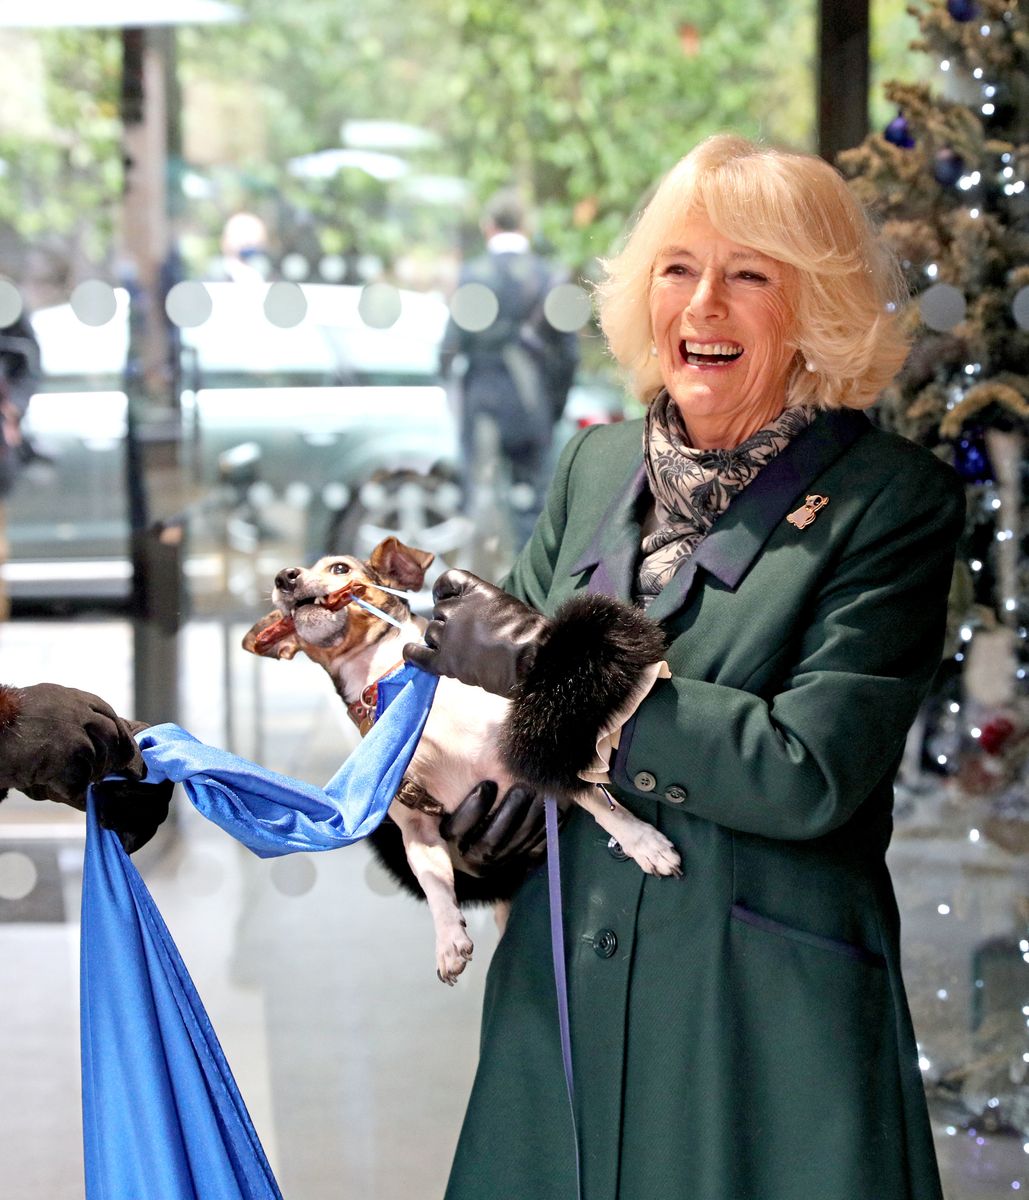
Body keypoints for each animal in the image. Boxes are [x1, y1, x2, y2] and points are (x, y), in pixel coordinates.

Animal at [242, 540, 681, 979]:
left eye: (339, 568)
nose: (284, 577)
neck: (398, 687)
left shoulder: (538, 755)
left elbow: (597, 801)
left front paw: (643, 842)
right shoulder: (417, 829)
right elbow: (434, 881)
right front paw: (448, 941)